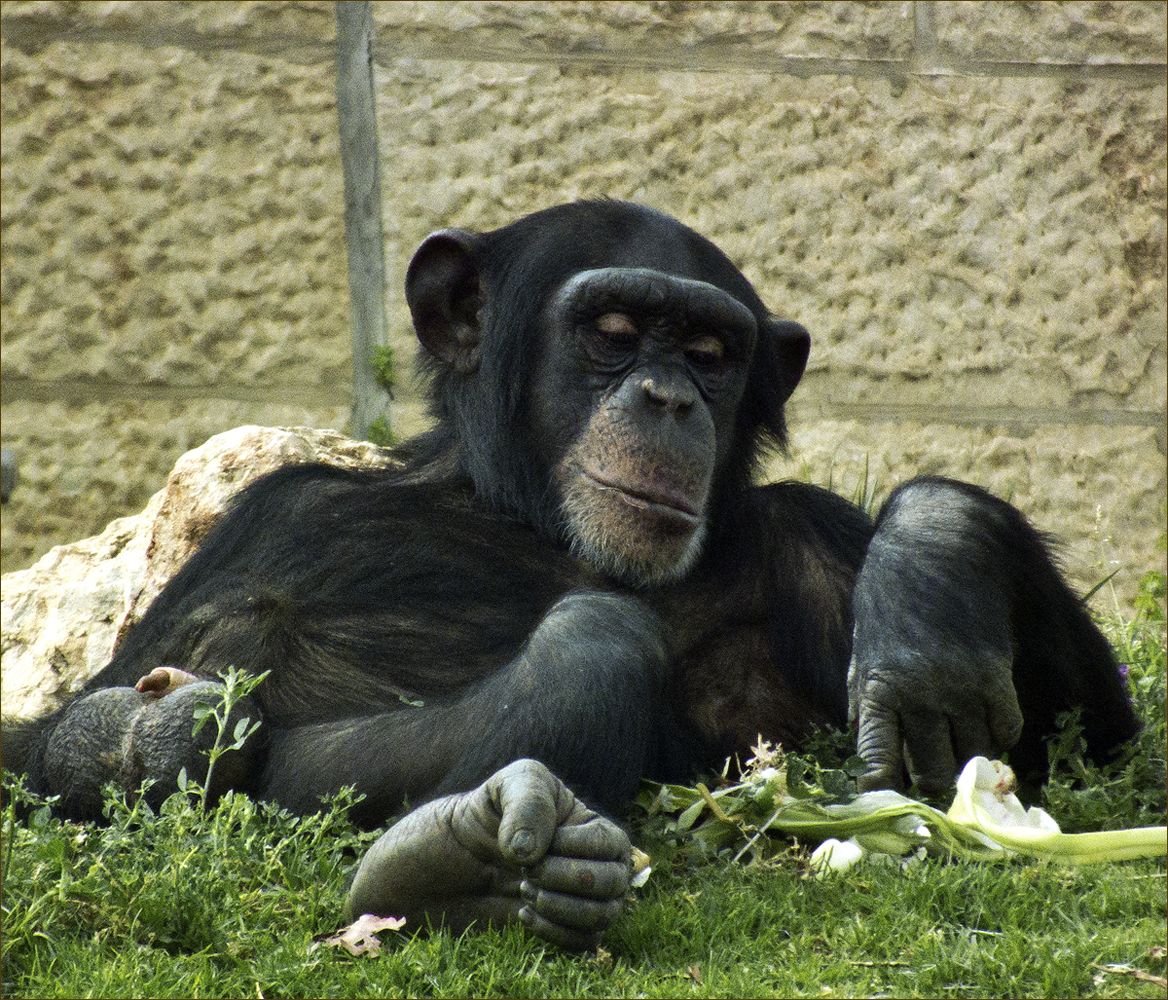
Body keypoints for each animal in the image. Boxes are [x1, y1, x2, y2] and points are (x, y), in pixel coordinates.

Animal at [4, 199, 1139, 948]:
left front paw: (928, 584)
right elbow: (51, 756)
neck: (540, 527)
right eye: (613, 333)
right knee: (590, 646)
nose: (668, 396)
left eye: (712, 351)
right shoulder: (271, 525)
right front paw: (147, 730)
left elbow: (1090, 748)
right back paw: (463, 859)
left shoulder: (806, 545)